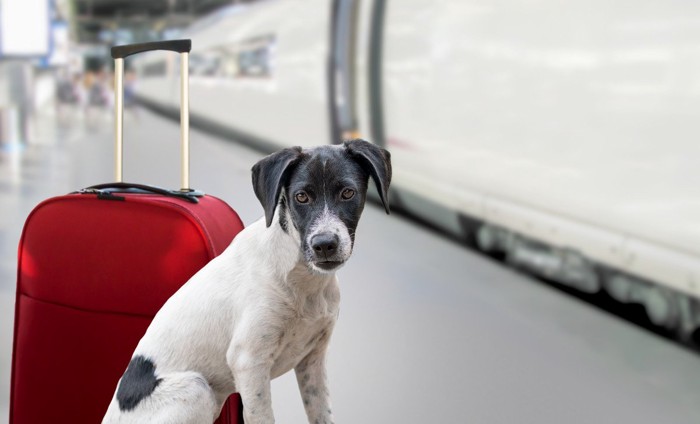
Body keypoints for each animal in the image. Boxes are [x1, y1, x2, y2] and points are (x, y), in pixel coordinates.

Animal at [102, 140, 394, 424]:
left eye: (348, 193)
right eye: (301, 197)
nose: (324, 245)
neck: (303, 280)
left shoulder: (313, 359)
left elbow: (322, 415)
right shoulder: (248, 362)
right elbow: (264, 417)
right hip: (197, 388)